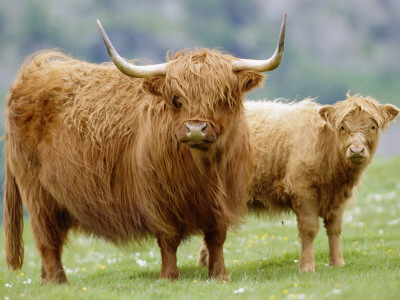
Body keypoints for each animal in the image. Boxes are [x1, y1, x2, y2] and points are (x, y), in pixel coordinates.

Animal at [1, 14, 286, 284]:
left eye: (222, 97)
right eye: (176, 99)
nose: (195, 128)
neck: (203, 170)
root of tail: (33, 72)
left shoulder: (224, 200)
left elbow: (216, 239)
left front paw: (220, 276)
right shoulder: (158, 198)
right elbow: (169, 240)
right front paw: (169, 276)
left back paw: (46, 280)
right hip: (37, 194)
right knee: (47, 240)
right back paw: (59, 281)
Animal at [198, 93, 398, 272]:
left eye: (372, 126)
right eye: (342, 127)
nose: (356, 150)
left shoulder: (339, 198)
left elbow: (334, 229)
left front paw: (338, 262)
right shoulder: (303, 193)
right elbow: (309, 229)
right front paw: (307, 266)